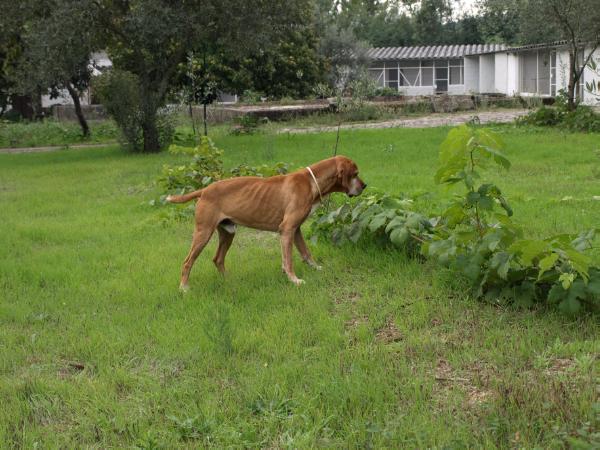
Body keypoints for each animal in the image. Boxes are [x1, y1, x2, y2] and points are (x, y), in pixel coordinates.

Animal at [166, 156, 368, 288]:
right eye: (355, 174)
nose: (364, 186)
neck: (312, 181)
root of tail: (204, 190)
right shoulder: (287, 229)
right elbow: (289, 260)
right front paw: (294, 280)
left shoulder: (295, 230)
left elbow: (305, 253)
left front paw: (315, 267)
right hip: (203, 233)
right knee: (187, 262)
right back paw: (184, 288)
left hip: (228, 233)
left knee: (218, 259)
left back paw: (228, 280)